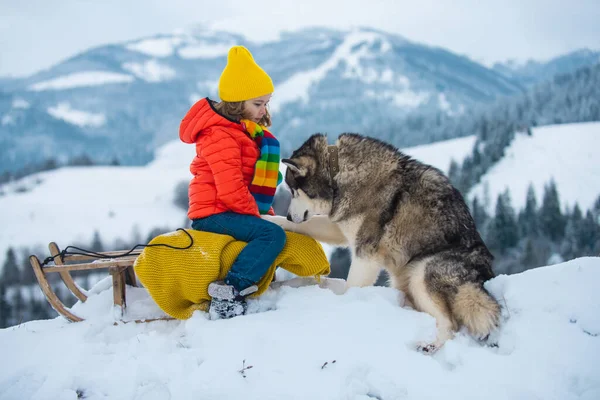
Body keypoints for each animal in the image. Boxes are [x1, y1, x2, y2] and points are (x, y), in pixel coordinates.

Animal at [264, 134, 500, 350]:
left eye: (294, 191)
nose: (289, 216)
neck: (338, 173)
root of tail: (485, 276)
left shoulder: (365, 255)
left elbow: (351, 288)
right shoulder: (339, 228)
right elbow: (304, 226)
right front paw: (268, 220)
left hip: (421, 273)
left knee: (450, 324)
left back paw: (430, 345)